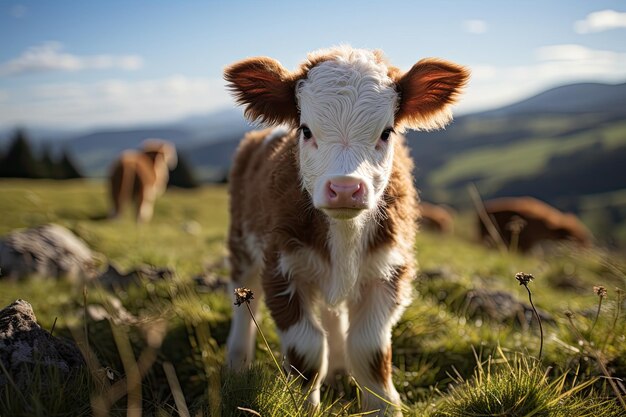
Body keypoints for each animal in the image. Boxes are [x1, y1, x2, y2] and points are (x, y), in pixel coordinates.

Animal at [224, 46, 468, 412]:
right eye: (305, 130)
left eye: (386, 132)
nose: (344, 188)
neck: (344, 234)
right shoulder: (280, 268)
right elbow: (307, 351)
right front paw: (304, 407)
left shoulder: (388, 270)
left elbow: (369, 350)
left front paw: (383, 408)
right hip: (241, 239)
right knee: (243, 293)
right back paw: (237, 362)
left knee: (332, 314)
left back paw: (338, 369)